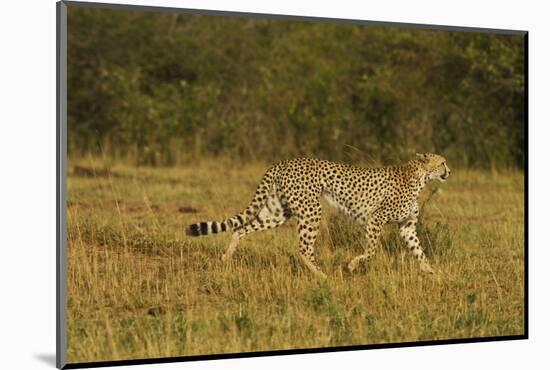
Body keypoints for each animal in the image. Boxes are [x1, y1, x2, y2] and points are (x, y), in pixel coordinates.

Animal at [188, 153, 450, 278]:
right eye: (443, 163)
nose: (450, 171)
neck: (420, 176)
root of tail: (284, 162)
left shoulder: (406, 226)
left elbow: (419, 250)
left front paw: (432, 273)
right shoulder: (376, 218)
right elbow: (372, 250)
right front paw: (352, 265)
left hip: (278, 211)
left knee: (239, 228)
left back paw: (225, 258)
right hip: (311, 210)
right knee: (304, 248)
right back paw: (323, 275)